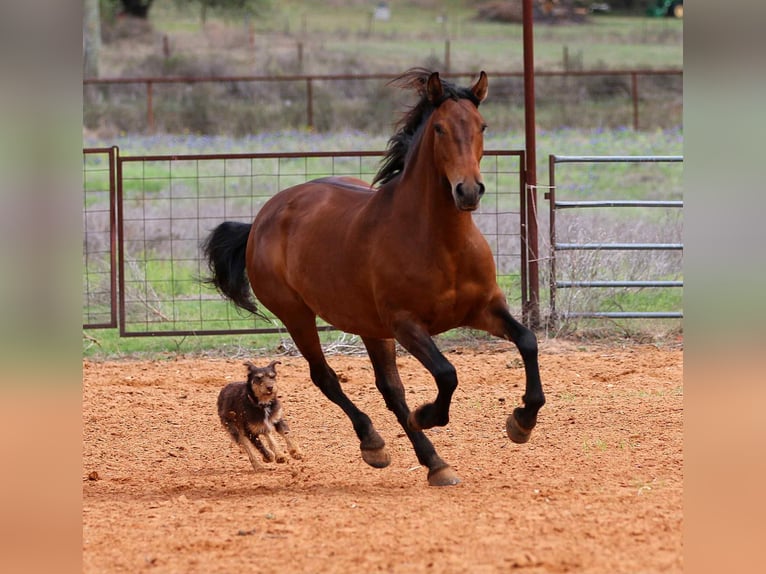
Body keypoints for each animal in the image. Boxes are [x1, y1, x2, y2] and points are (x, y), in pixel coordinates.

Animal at [203, 68, 545, 486]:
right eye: (440, 129)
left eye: (482, 126)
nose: (468, 190)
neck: (440, 242)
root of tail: (263, 218)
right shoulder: (406, 324)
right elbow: (447, 373)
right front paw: (427, 414)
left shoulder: (485, 309)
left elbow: (527, 341)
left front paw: (522, 421)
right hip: (298, 316)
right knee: (326, 377)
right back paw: (374, 443)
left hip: (368, 326)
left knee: (390, 390)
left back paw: (435, 464)